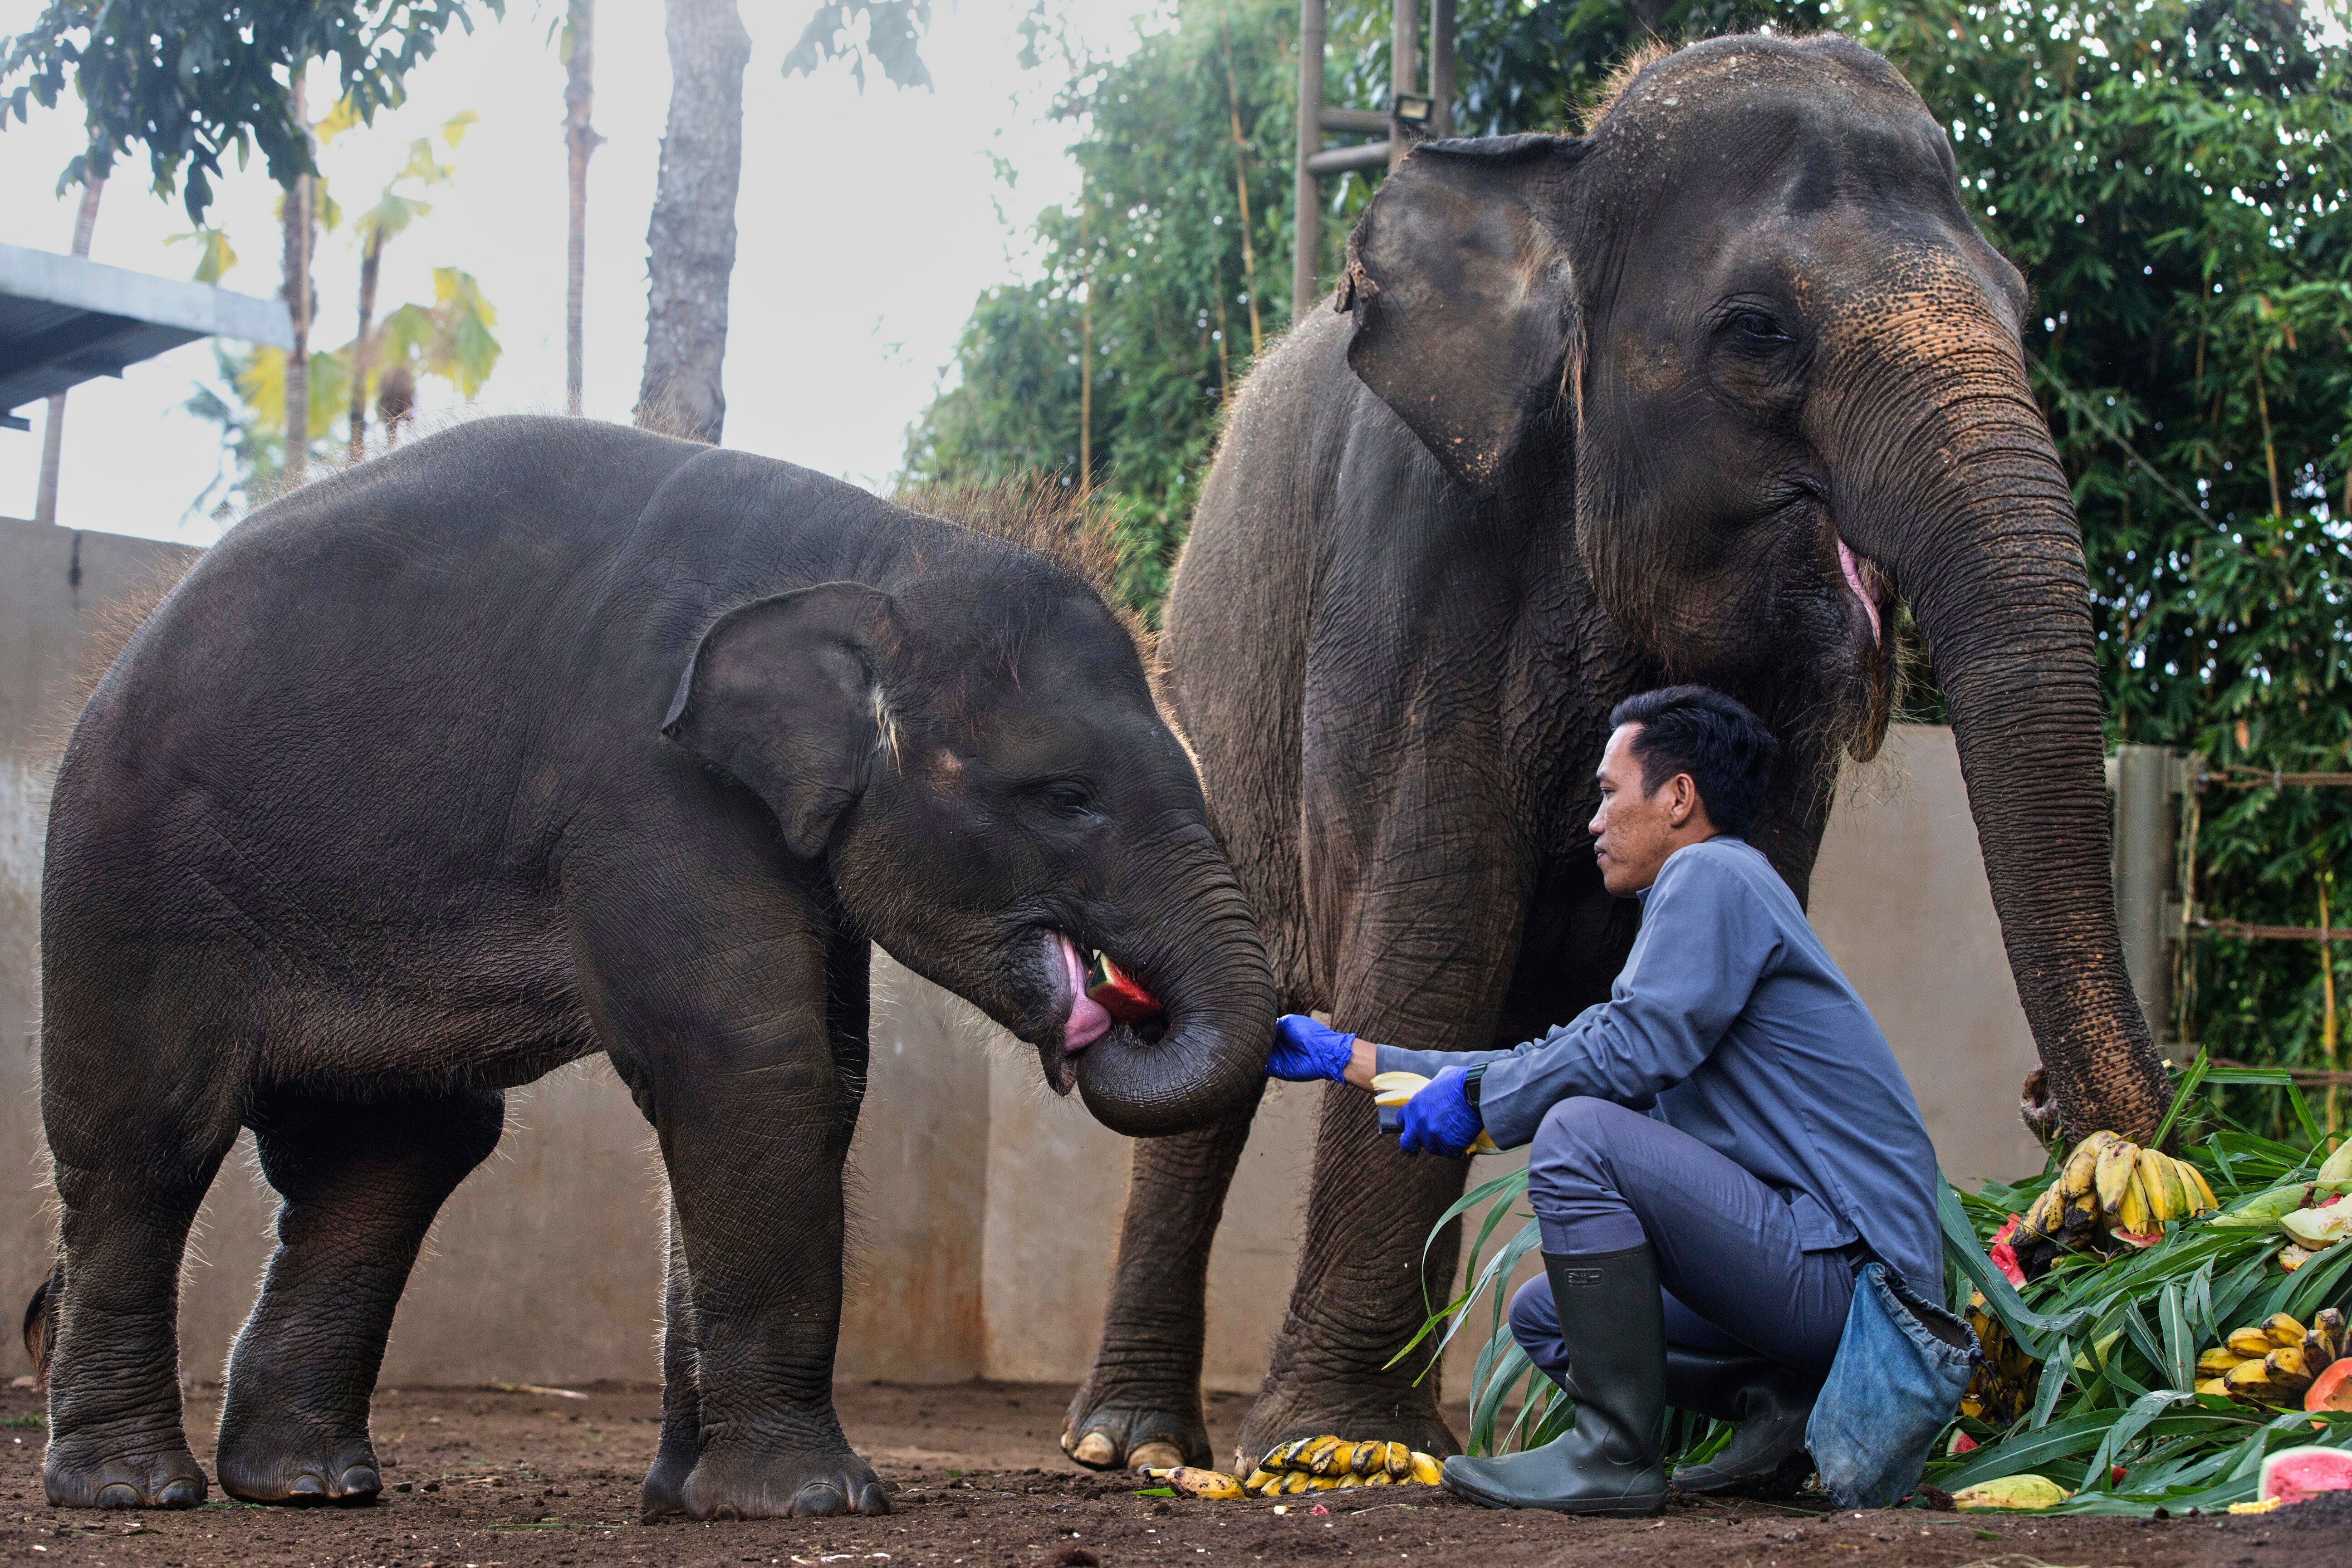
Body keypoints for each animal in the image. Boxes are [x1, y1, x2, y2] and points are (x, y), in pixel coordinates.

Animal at [28, 416, 1274, 1517]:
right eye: (1066, 796)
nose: (1111, 1011)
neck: (873, 552)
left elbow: (821, 1078)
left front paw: (688, 1499)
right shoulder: (644, 782)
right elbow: (752, 1062)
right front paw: (810, 1501)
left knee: (390, 1155)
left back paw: (307, 1484)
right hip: (125, 879)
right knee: (147, 1140)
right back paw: (135, 1490)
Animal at [1058, 32, 2170, 1474]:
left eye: (2024, 306)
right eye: (1757, 331)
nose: (2048, 1122)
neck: (1558, 179)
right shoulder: (1419, 566)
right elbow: (1433, 951)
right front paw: (1337, 1446)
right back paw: (1130, 1445)